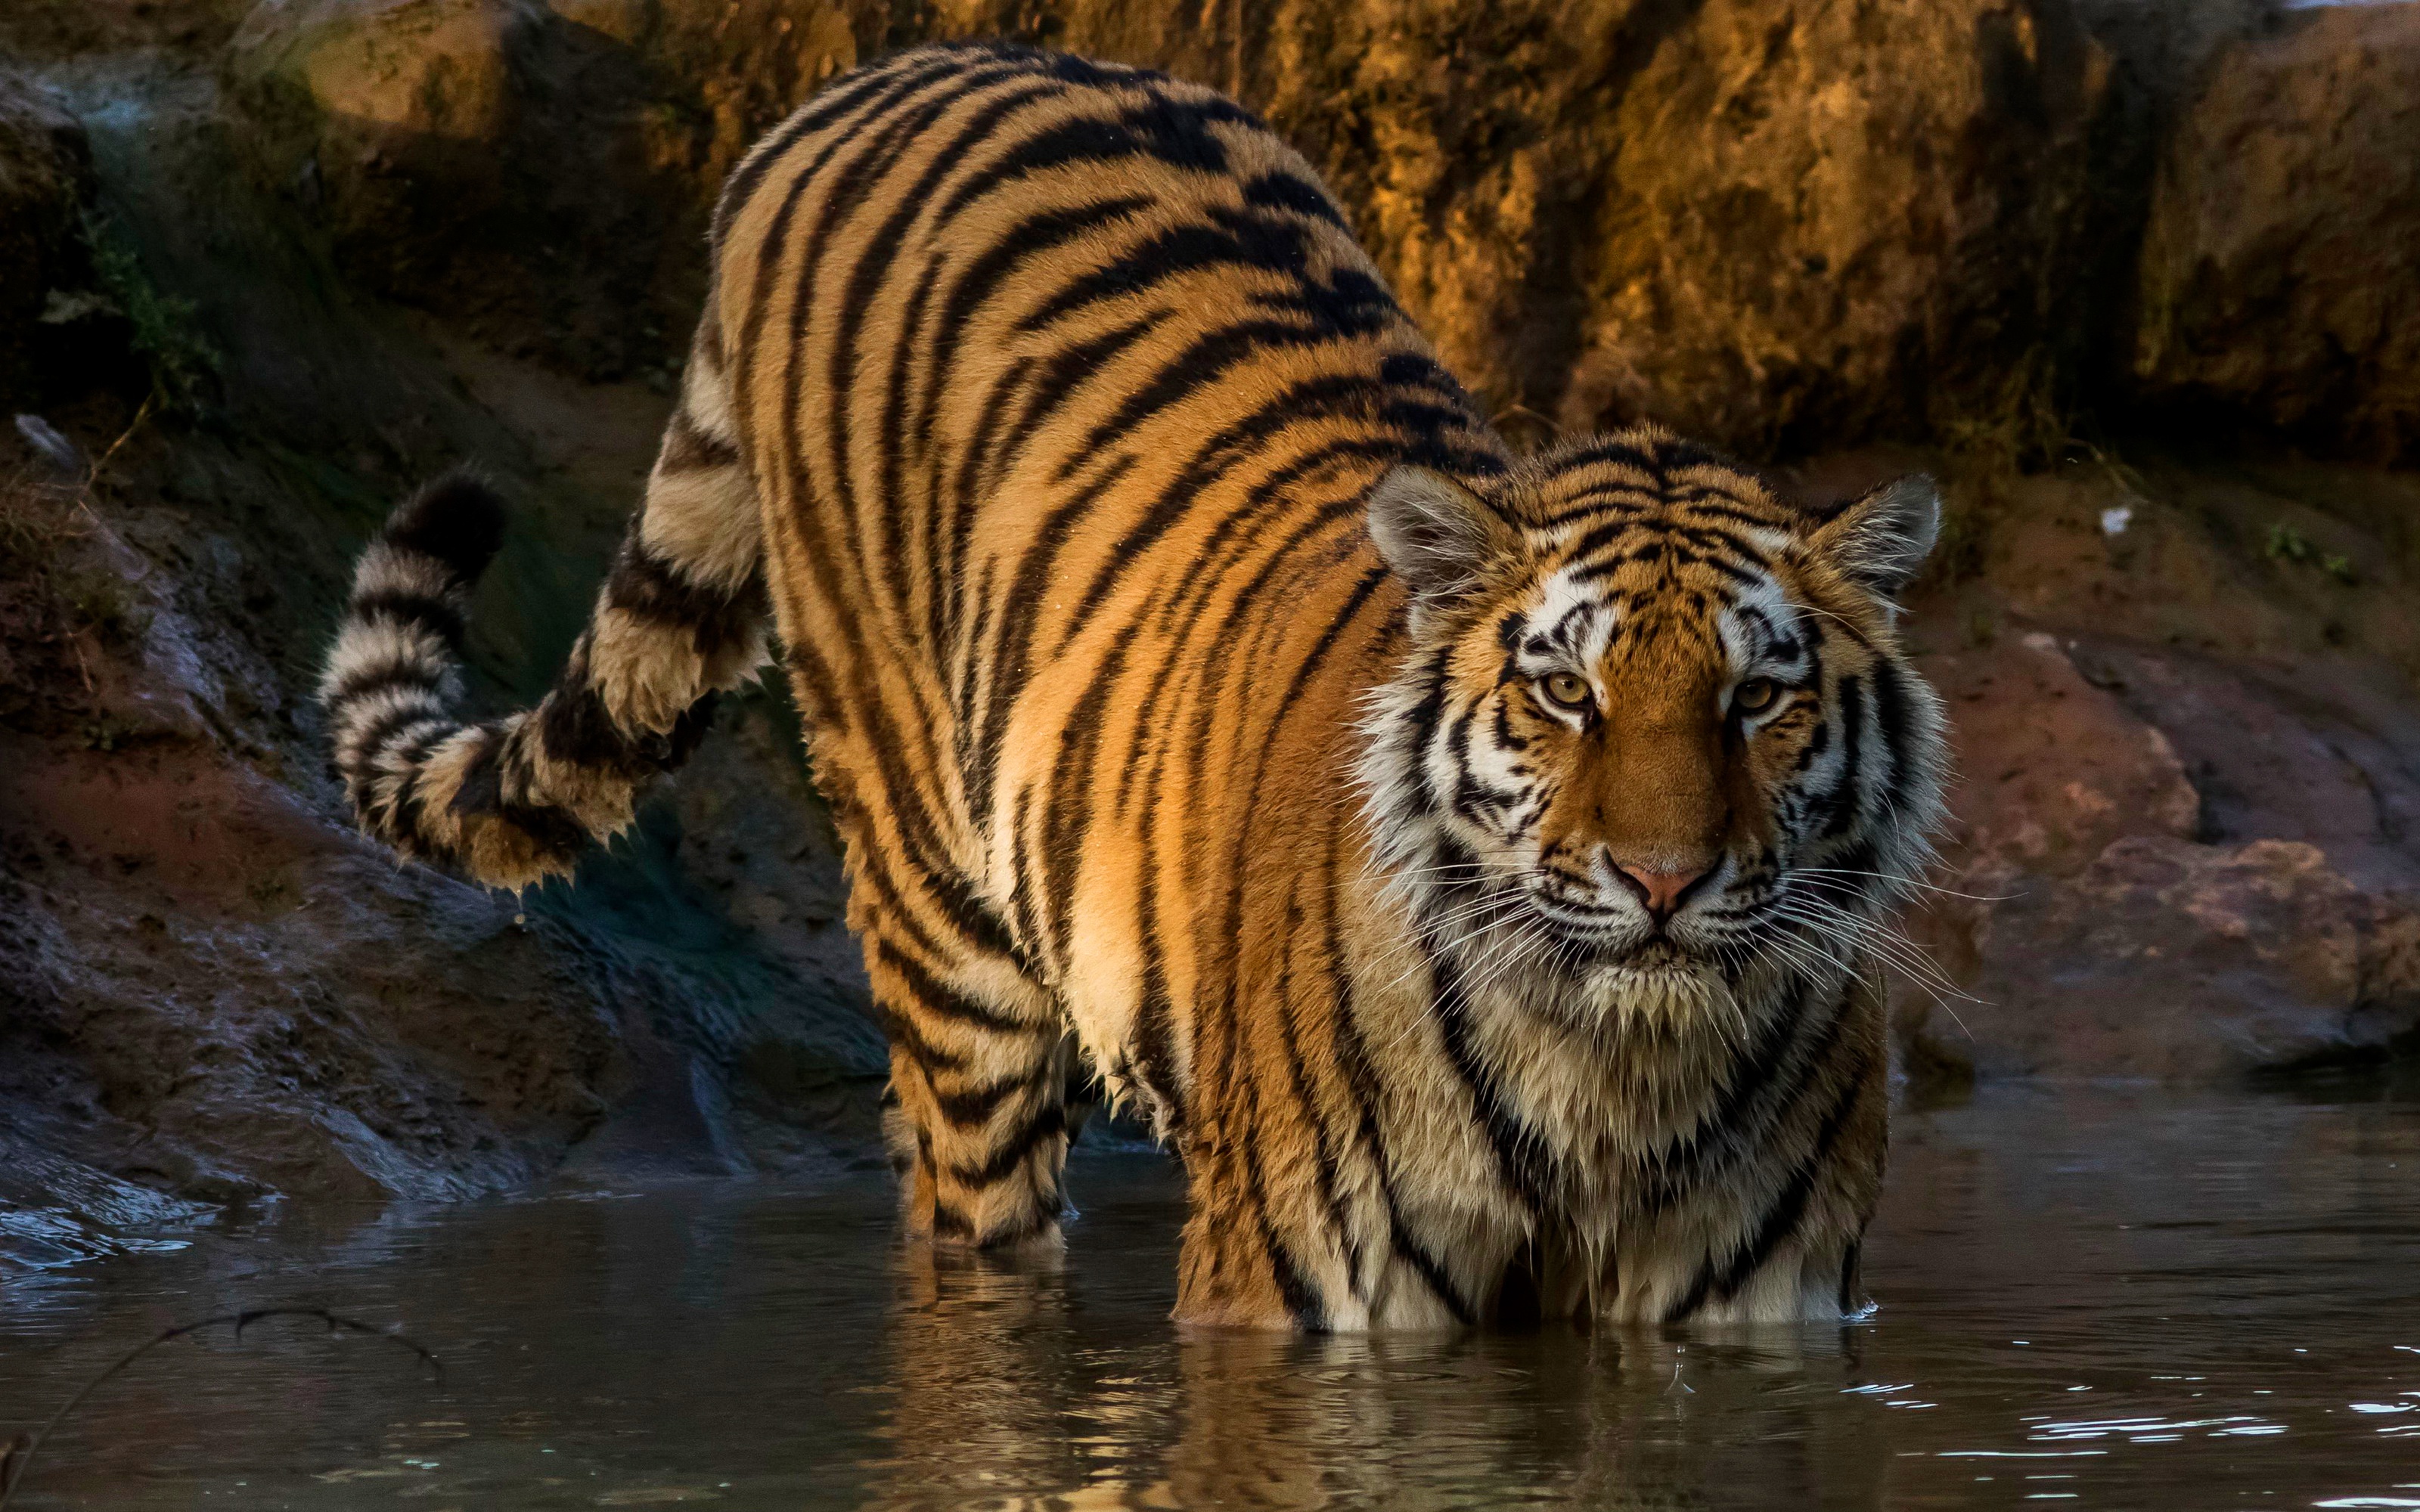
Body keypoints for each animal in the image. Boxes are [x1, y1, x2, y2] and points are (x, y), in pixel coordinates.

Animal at [317, 41, 1945, 1325]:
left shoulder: (1763, 1310)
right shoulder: (1295, 1293)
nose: (1664, 882)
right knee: (966, 1203)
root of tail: (868, 81)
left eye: (1755, 700)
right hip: (941, 917)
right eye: (1566, 696)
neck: (1614, 1078)